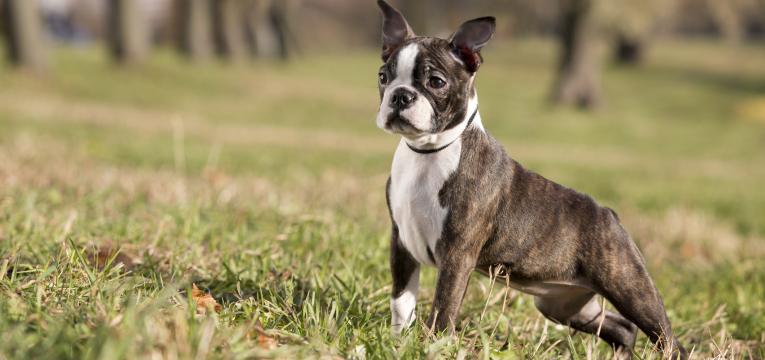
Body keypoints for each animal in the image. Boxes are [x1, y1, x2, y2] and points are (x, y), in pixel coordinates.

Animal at [374, 1, 688, 358]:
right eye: (383, 77)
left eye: (436, 81)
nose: (400, 95)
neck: (427, 155)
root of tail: (610, 214)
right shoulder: (402, 243)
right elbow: (401, 301)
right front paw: (397, 342)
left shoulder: (456, 256)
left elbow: (443, 306)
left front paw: (431, 345)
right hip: (564, 305)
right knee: (621, 327)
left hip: (631, 288)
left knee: (667, 339)